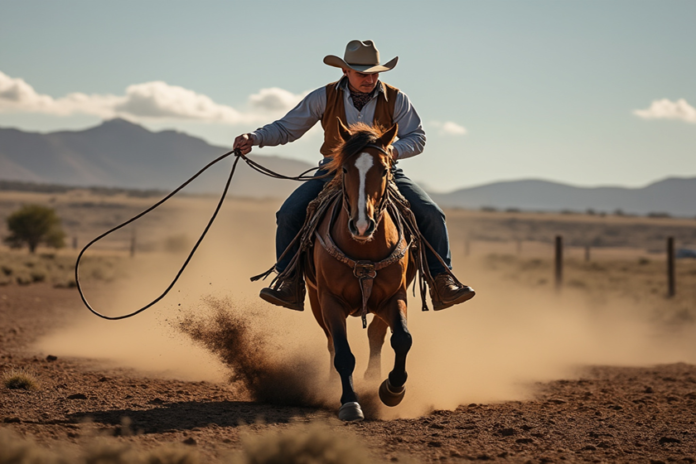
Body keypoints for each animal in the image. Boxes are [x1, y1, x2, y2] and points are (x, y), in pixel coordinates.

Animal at [304, 121, 414, 422]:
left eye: (384, 169)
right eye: (344, 169)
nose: (362, 226)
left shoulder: (395, 295)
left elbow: (402, 339)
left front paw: (392, 389)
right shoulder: (330, 301)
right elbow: (342, 352)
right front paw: (349, 402)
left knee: (376, 334)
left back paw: (372, 378)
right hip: (315, 300)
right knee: (331, 343)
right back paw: (332, 386)